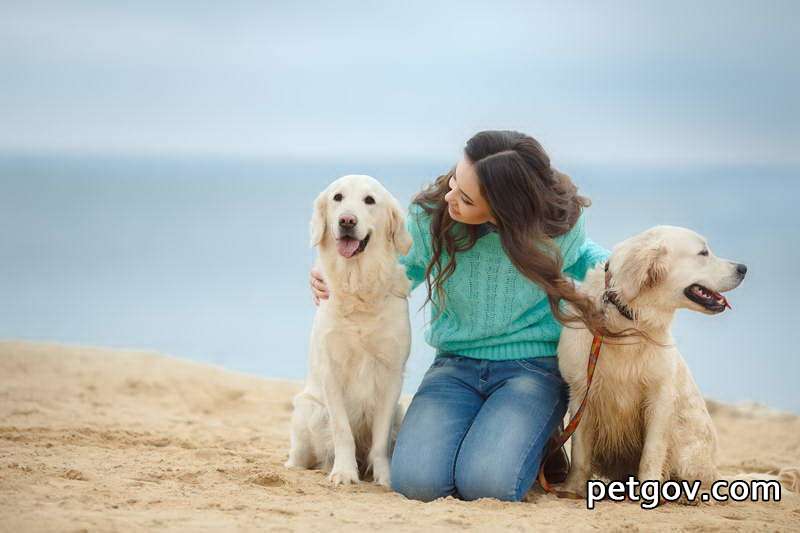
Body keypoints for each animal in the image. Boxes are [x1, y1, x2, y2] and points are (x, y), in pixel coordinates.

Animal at [286, 175, 412, 486]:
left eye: (369, 200)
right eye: (338, 197)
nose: (346, 220)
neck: (358, 288)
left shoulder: (391, 373)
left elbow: (380, 441)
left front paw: (385, 477)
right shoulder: (331, 371)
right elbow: (343, 431)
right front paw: (344, 472)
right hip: (309, 409)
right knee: (298, 456)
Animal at [556, 224, 780, 494]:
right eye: (703, 253)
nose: (743, 268)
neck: (630, 321)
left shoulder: (659, 396)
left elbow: (652, 452)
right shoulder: (581, 391)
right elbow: (580, 451)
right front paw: (571, 489)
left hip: (688, 450)